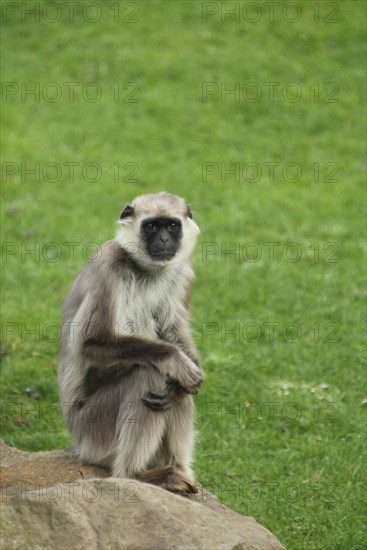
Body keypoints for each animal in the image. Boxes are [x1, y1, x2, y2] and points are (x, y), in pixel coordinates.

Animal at [59, 192, 206, 494]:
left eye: (171, 226)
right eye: (151, 226)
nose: (164, 239)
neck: (146, 270)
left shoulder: (182, 272)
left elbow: (173, 330)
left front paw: (183, 377)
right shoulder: (109, 265)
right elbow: (90, 343)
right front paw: (175, 361)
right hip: (92, 430)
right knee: (146, 372)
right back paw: (134, 475)